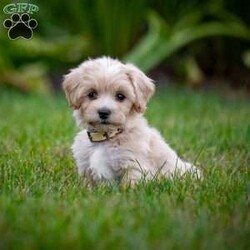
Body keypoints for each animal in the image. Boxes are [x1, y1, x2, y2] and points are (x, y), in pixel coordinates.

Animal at [62, 57, 201, 186]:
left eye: (120, 96)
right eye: (91, 94)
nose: (104, 112)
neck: (107, 136)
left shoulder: (134, 165)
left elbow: (130, 186)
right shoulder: (86, 168)